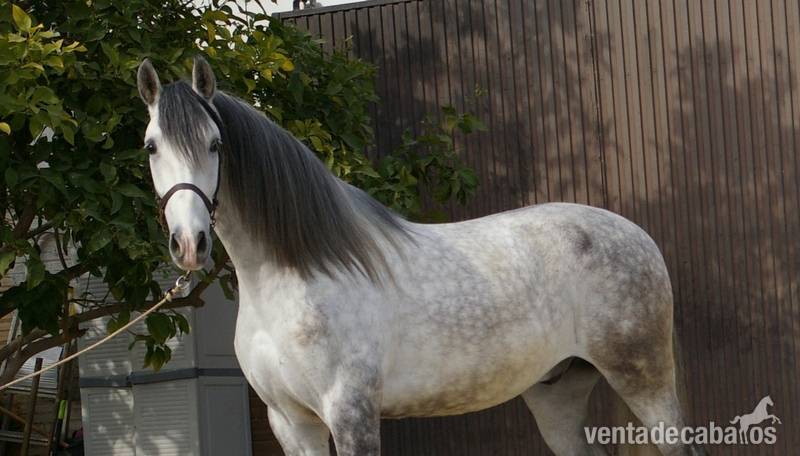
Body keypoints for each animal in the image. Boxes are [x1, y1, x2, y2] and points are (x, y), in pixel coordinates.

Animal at [137, 56, 706, 456]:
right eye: (150, 145)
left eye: (215, 144)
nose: (190, 243)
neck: (294, 276)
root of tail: (639, 236)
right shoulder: (290, 422)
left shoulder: (351, 414)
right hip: (556, 394)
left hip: (645, 380)